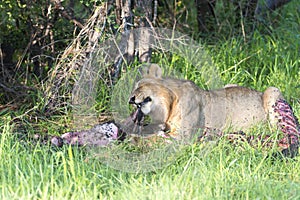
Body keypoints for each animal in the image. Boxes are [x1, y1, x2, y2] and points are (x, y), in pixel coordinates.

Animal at [129, 64, 284, 141]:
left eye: (140, 86)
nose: (131, 98)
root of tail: (259, 92)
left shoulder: (183, 136)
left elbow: (154, 136)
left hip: (272, 91)